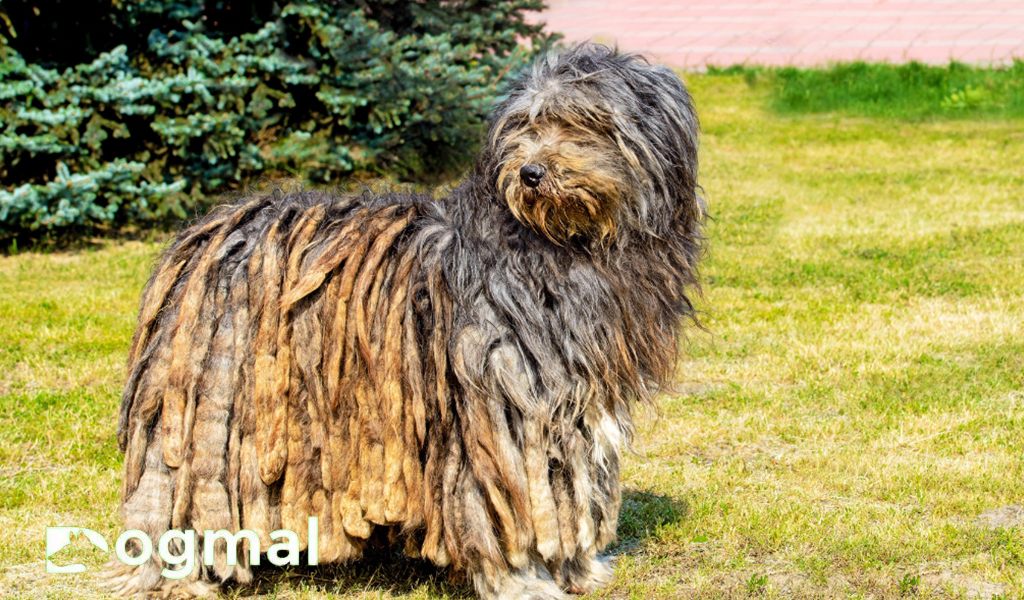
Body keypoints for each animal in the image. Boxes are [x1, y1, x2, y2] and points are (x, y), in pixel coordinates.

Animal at [108, 43, 708, 597]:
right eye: (525, 125)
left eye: (584, 121)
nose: (531, 172)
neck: (562, 245)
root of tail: (207, 234)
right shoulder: (496, 403)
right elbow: (505, 505)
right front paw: (523, 580)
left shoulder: (574, 401)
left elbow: (570, 487)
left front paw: (578, 569)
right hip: (206, 410)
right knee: (170, 495)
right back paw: (171, 576)